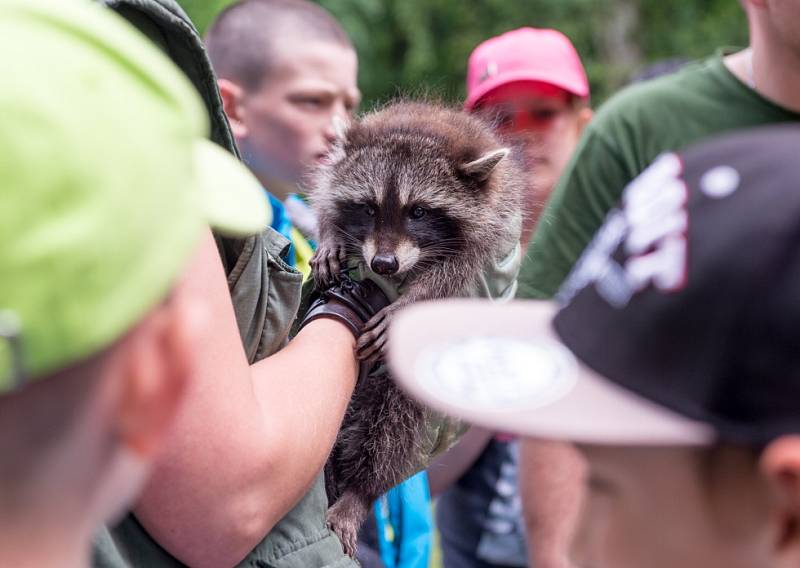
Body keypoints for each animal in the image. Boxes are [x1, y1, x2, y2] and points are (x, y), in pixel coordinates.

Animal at [308, 101, 524, 556]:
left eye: (419, 211)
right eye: (369, 208)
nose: (383, 265)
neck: (421, 127)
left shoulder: (493, 226)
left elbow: (455, 274)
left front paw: (414, 299)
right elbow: (327, 204)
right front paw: (330, 235)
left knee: (396, 414)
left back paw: (361, 489)